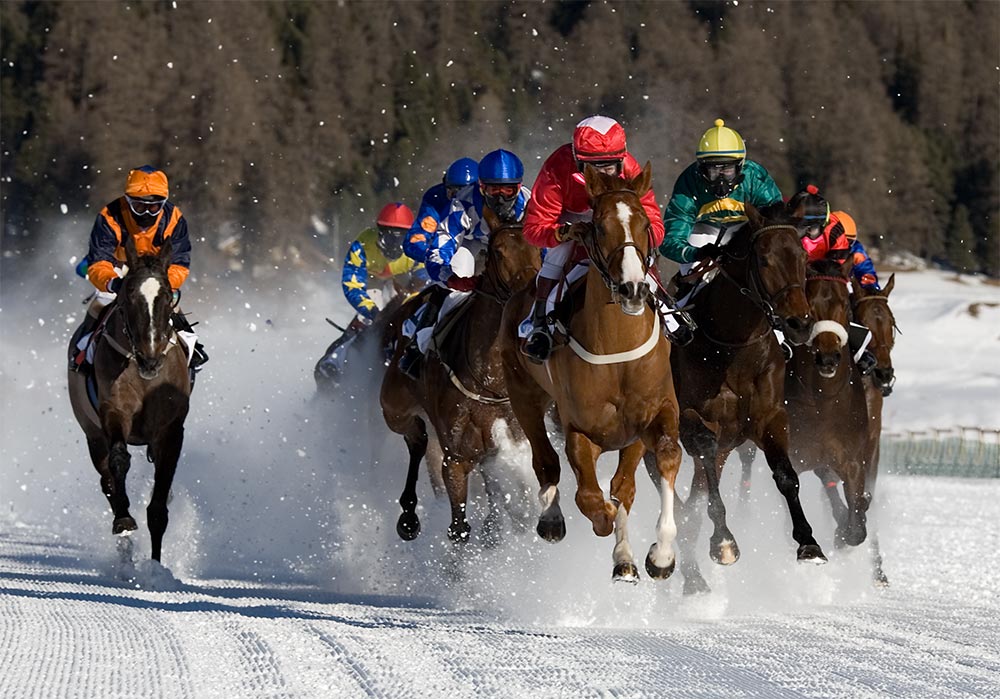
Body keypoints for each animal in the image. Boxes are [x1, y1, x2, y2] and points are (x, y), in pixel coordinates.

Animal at [67, 238, 192, 560]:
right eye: (129, 295)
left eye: (166, 296)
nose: (150, 359)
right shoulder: (114, 410)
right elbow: (118, 460)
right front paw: (124, 520)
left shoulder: (170, 430)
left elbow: (159, 504)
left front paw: (156, 565)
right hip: (91, 431)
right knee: (106, 477)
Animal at [380, 208, 540, 548]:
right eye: (498, 251)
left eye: (539, 249)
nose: (527, 299)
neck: (489, 380)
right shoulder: (454, 459)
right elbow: (458, 528)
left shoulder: (514, 438)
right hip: (393, 407)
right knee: (416, 438)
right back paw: (409, 517)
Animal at [498, 161, 680, 584]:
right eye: (598, 226)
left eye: (645, 223)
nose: (633, 289)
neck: (617, 354)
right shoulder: (580, 430)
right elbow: (589, 496)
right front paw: (604, 519)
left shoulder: (652, 416)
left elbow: (658, 463)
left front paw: (660, 555)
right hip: (523, 395)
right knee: (545, 460)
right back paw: (552, 518)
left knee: (621, 484)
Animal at [668, 202, 824, 596]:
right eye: (764, 259)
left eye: (803, 256)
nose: (799, 323)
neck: (734, 347)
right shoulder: (693, 422)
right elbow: (705, 461)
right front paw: (723, 541)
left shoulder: (769, 417)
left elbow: (786, 476)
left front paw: (809, 543)